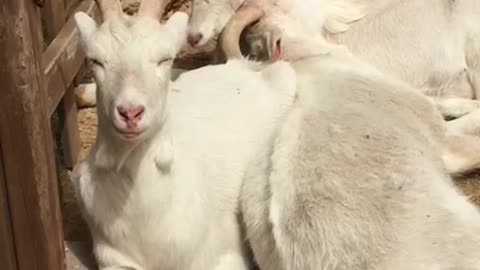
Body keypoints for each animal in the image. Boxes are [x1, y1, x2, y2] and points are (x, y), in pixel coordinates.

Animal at [71, 1, 296, 268]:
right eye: (95, 61)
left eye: (164, 58)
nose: (130, 112)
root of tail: (239, 65)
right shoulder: (112, 256)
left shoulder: (225, 256)